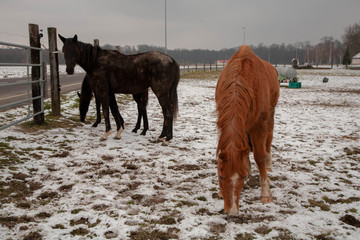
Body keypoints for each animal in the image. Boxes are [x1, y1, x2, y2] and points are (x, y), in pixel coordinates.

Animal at [215, 45, 280, 216]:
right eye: (221, 177)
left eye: (243, 178)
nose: (231, 211)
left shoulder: (258, 125)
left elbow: (259, 156)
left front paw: (265, 194)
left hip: (270, 116)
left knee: (268, 140)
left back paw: (268, 165)